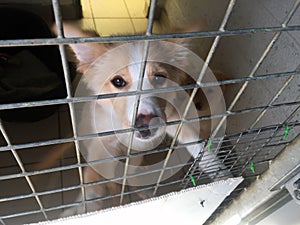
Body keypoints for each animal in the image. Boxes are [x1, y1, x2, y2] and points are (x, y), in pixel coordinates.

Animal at [48, 22, 231, 214]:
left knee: (130, 175)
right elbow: (93, 182)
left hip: (137, 156)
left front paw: (221, 173)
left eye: (158, 77)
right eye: (118, 81)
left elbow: (199, 147)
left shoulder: (171, 118)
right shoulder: (101, 145)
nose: (144, 125)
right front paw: (86, 208)